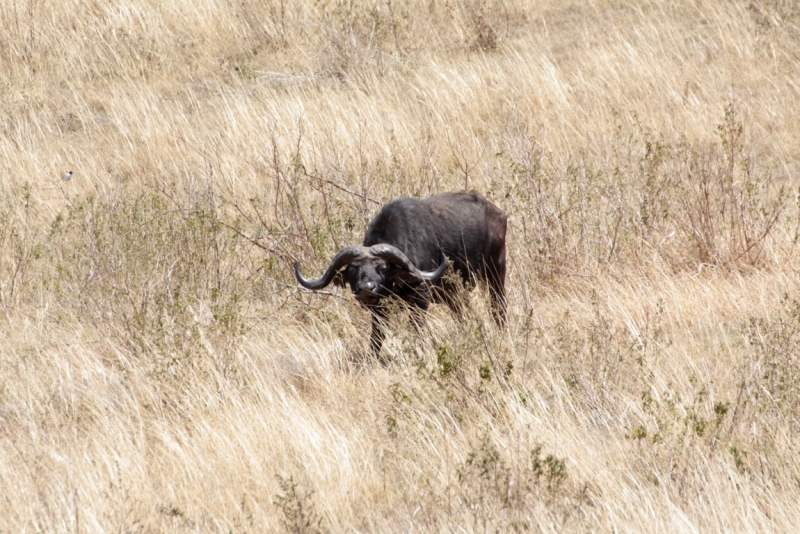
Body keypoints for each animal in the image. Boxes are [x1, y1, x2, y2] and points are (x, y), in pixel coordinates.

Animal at [294, 191, 506, 358]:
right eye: (353, 269)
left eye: (382, 268)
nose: (366, 289)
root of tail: (497, 213)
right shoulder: (378, 309)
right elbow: (377, 335)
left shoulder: (421, 297)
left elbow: (417, 328)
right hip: (455, 293)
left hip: (496, 271)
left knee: (498, 306)